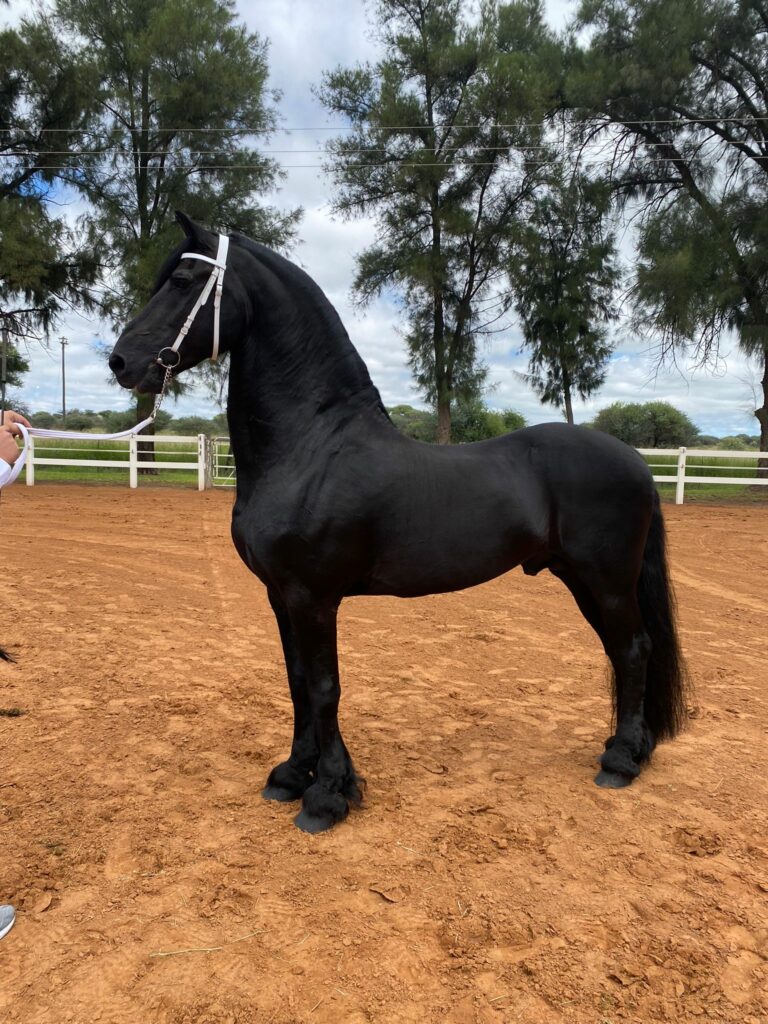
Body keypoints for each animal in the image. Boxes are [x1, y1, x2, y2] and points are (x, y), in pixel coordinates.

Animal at [109, 212, 688, 834]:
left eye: (183, 280)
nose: (120, 362)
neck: (313, 447)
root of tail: (636, 461)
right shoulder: (279, 595)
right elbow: (296, 682)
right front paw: (291, 775)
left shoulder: (313, 597)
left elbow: (324, 687)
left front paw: (328, 795)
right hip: (583, 580)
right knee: (623, 652)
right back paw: (628, 748)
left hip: (607, 581)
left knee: (633, 650)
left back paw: (620, 762)